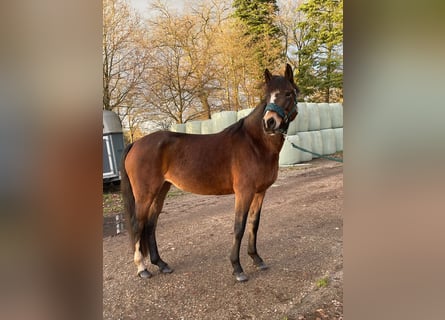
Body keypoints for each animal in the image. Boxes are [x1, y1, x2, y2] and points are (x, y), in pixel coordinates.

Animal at [120, 63, 298, 282]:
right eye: (267, 96)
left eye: (288, 93)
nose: (269, 123)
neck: (254, 143)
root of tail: (136, 143)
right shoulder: (244, 192)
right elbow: (239, 227)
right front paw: (237, 268)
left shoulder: (260, 192)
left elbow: (253, 224)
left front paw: (257, 259)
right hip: (145, 194)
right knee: (138, 225)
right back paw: (142, 268)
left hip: (161, 190)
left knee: (150, 225)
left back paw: (161, 264)